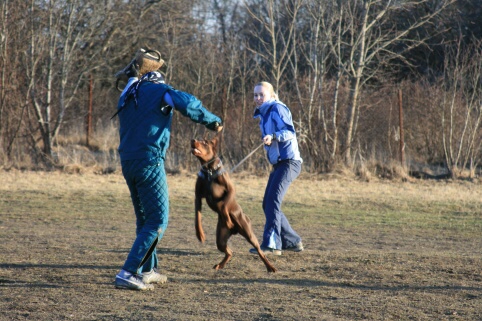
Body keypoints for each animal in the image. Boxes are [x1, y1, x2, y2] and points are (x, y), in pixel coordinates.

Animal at [190, 136, 276, 272]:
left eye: (204, 142)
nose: (192, 140)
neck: (209, 171)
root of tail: (235, 230)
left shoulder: (230, 190)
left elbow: (223, 204)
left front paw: (228, 219)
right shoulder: (198, 197)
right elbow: (197, 217)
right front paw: (200, 234)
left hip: (248, 232)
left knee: (259, 251)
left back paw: (270, 267)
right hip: (221, 237)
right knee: (229, 251)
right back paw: (220, 264)